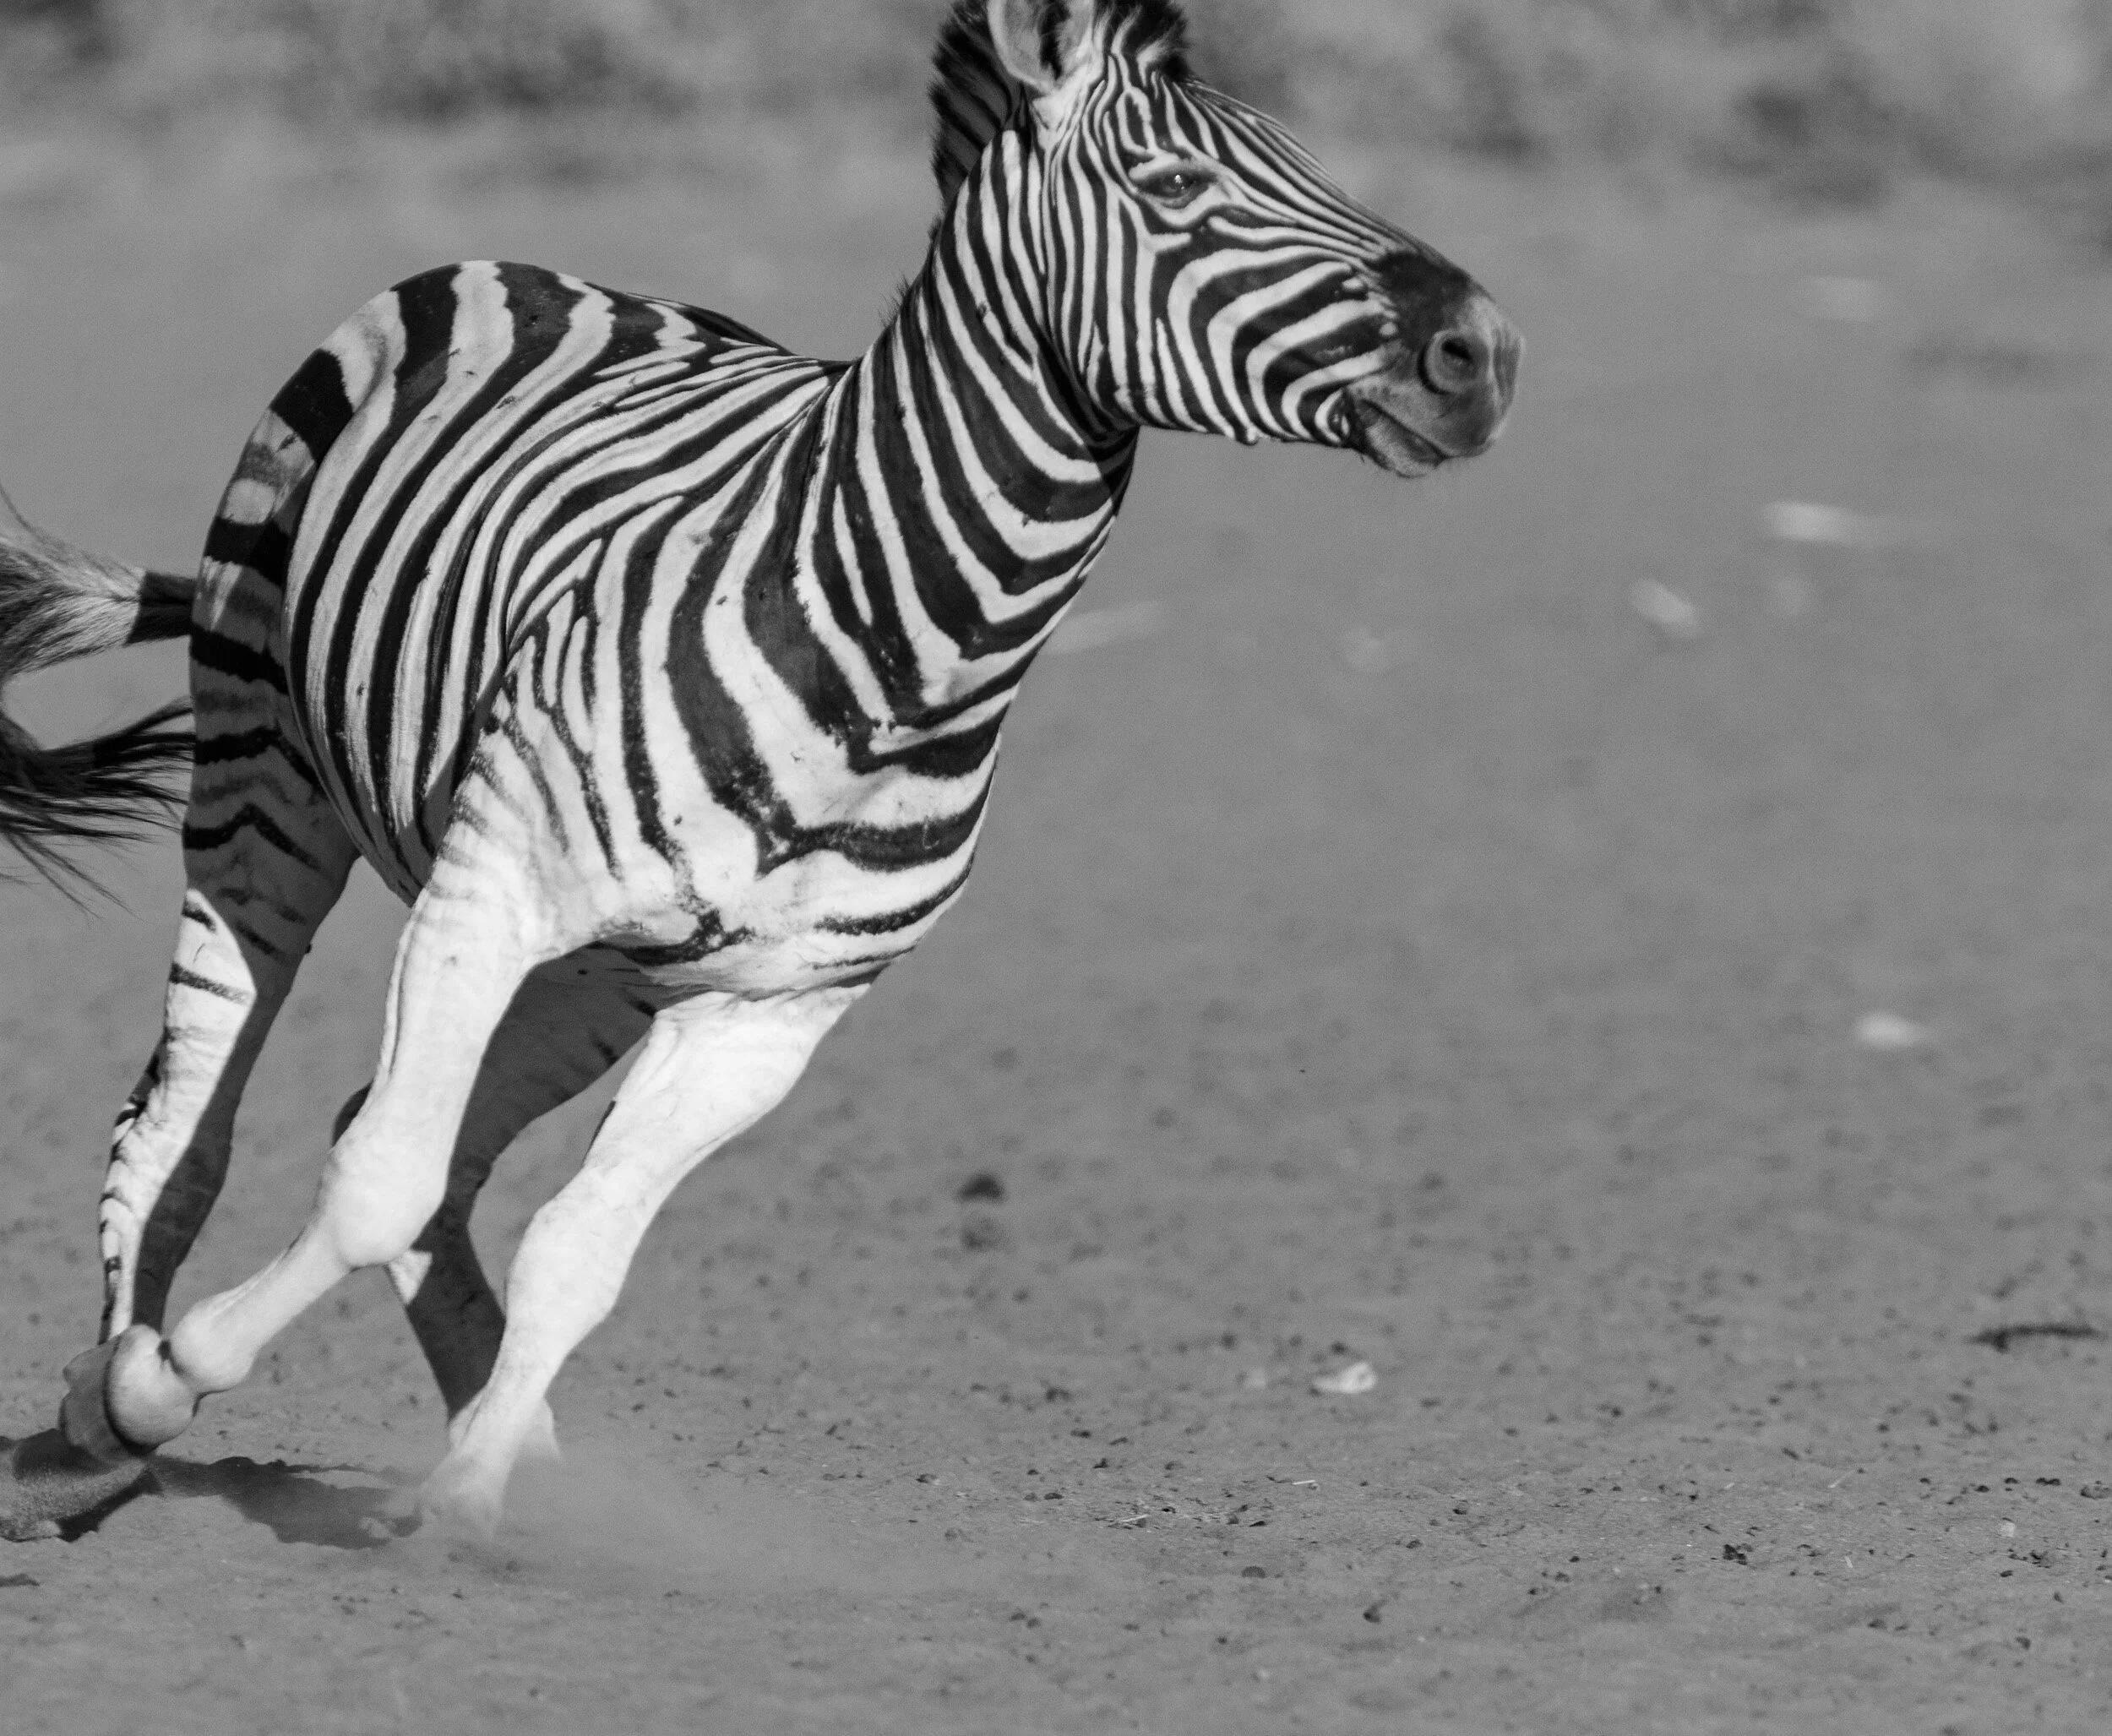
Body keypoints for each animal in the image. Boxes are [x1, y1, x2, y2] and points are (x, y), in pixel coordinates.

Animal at [0, 0, 1516, 1539]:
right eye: (1176, 188)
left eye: (1306, 159)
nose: (1486, 353)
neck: (902, 656)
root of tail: (544, 272)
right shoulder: (492, 888)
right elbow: (375, 1187)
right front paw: (166, 1380)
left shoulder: (771, 1013)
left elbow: (577, 1252)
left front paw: (475, 1496)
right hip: (268, 780)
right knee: (184, 1116)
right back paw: (100, 1422)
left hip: (603, 974)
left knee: (409, 1143)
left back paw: (512, 1434)